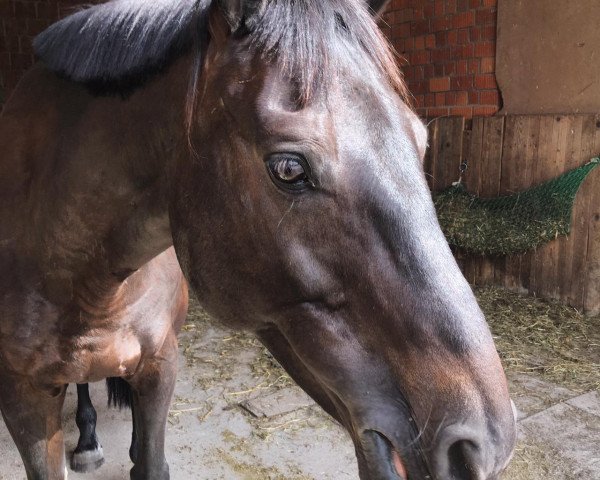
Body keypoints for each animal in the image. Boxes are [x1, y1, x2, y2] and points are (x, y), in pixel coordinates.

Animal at [0, 0, 516, 478]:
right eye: (288, 168)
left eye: (422, 142)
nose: (482, 443)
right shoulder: (23, 400)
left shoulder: (161, 366)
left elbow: (151, 460)